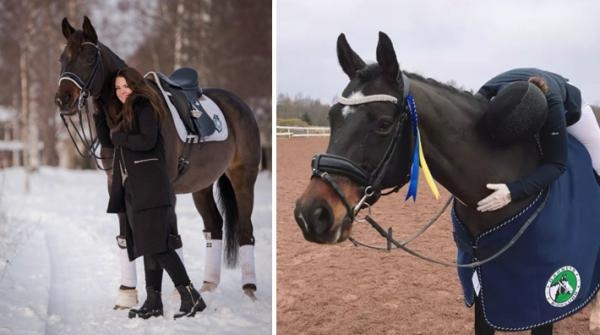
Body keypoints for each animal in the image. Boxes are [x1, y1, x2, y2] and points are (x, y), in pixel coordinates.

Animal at [55, 17, 262, 304]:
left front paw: (177, 293)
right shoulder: (117, 185)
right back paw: (209, 285)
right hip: (202, 186)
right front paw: (127, 294)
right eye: (62, 58)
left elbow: (169, 238)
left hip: (243, 179)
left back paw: (249, 290)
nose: (63, 100)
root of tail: (240, 105)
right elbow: (125, 237)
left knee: (245, 230)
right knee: (214, 227)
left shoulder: (163, 189)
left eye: (88, 57)